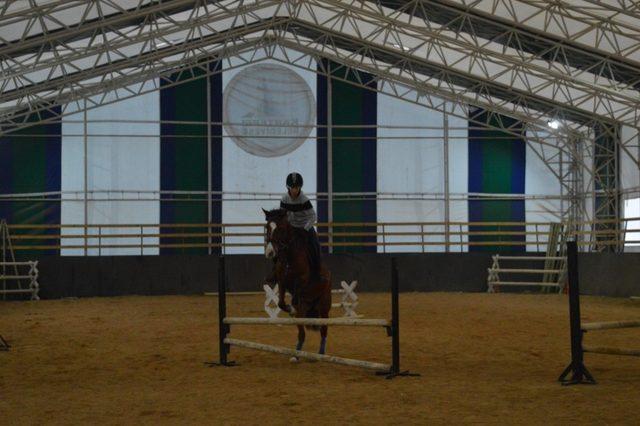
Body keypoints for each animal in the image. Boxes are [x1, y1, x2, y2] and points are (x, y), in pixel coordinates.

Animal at [262, 206, 332, 356]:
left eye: (281, 228)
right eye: (267, 227)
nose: (270, 253)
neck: (289, 256)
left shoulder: (302, 281)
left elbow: (294, 298)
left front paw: (291, 308)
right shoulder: (281, 281)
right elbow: (281, 302)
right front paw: (289, 309)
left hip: (324, 306)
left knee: (324, 330)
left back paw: (321, 352)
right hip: (307, 309)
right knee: (301, 332)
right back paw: (297, 354)